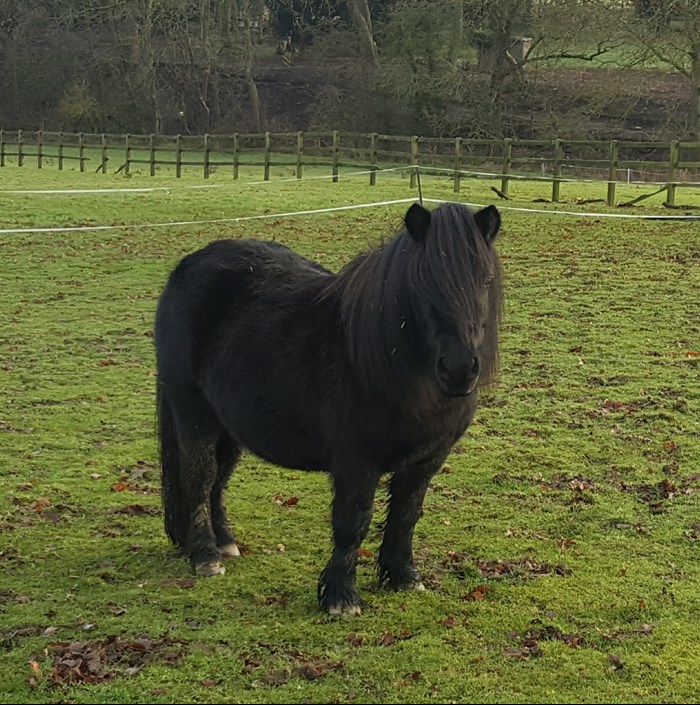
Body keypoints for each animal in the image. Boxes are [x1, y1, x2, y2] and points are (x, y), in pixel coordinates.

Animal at [154, 201, 504, 612]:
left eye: (485, 280)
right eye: (424, 282)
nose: (459, 369)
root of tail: (189, 265)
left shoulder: (425, 461)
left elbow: (405, 516)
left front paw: (402, 576)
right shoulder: (357, 462)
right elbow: (352, 524)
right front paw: (341, 596)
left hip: (229, 425)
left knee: (218, 480)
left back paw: (225, 542)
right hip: (195, 417)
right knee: (200, 477)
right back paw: (206, 555)